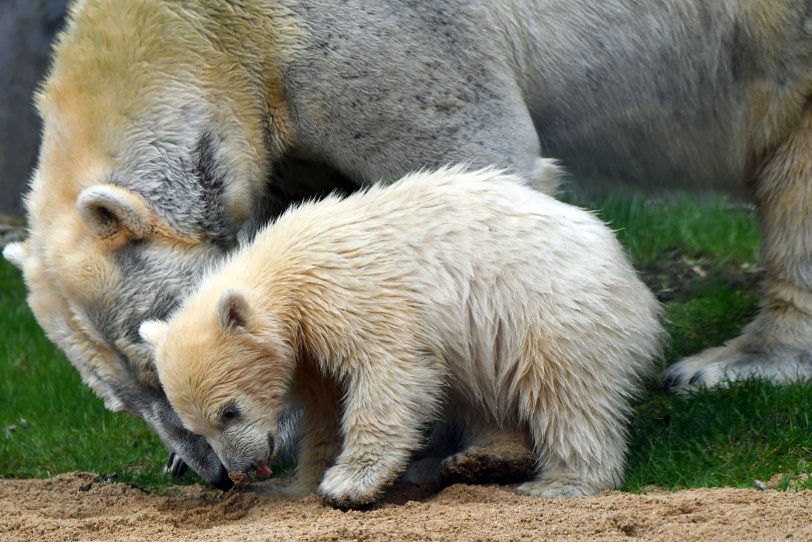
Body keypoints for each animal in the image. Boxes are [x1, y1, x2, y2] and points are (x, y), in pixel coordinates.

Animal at [6, 0, 812, 488]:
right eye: (123, 398)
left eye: (149, 361)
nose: (216, 476)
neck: (221, 27)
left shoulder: (383, 40)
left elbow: (467, 159)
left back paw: (733, 362)